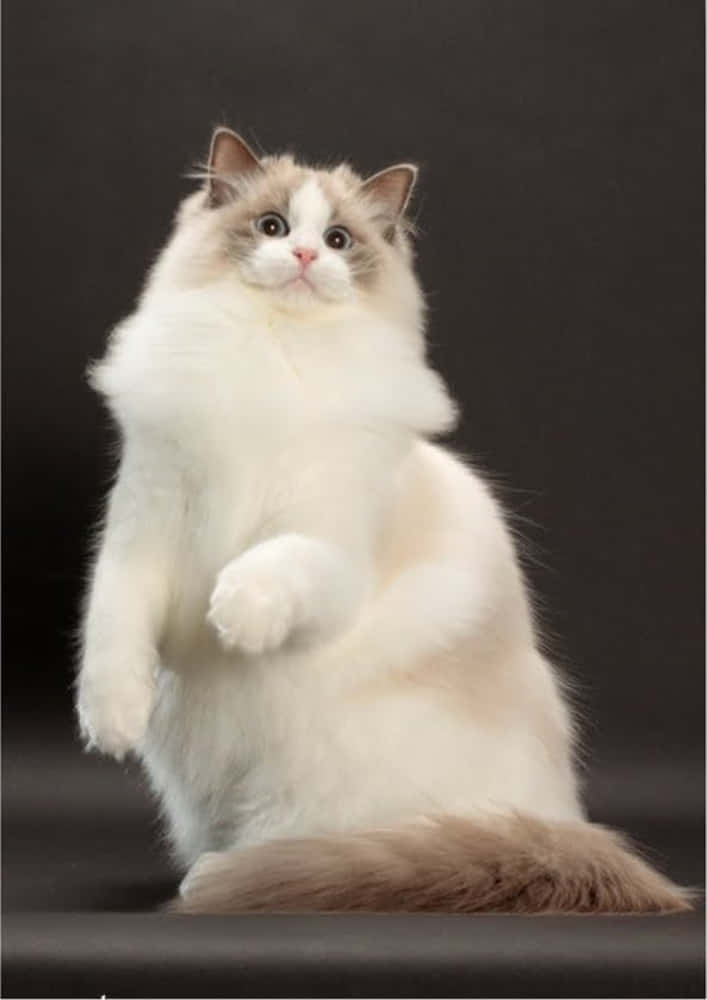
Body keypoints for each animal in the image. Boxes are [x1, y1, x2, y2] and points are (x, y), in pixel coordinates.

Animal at [77, 127, 692, 916]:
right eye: (272, 227)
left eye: (338, 240)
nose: (306, 258)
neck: (273, 356)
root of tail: (558, 822)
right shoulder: (143, 530)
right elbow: (111, 633)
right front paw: (112, 724)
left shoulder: (326, 542)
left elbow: (272, 562)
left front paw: (236, 618)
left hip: (319, 774)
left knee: (306, 841)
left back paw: (219, 877)